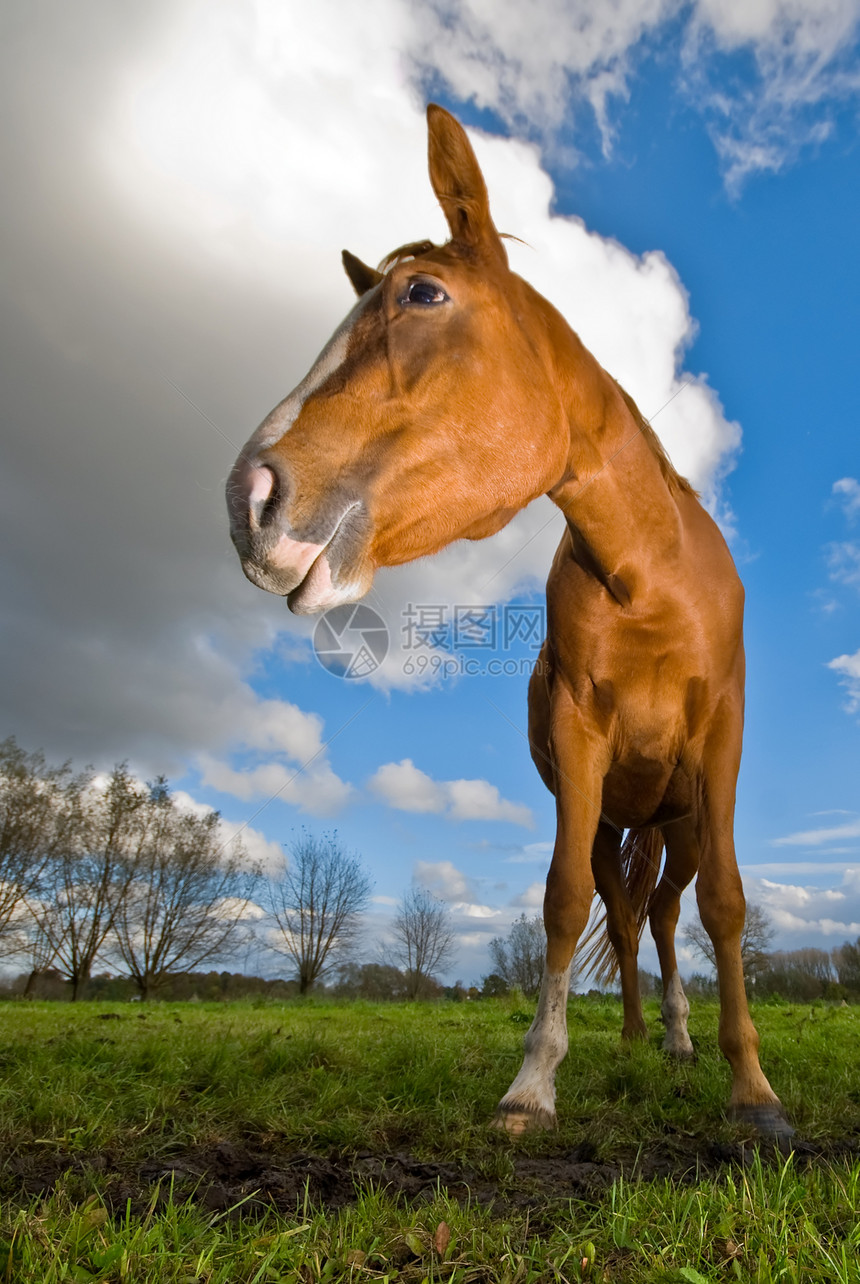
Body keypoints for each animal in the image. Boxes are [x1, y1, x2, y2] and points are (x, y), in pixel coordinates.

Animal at [228, 105, 795, 1140]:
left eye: (423, 293)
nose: (248, 500)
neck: (653, 577)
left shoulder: (720, 743)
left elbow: (730, 907)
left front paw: (755, 1090)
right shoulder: (579, 742)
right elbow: (563, 901)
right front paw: (534, 1082)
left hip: (682, 817)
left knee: (667, 912)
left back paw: (682, 1040)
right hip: (617, 817)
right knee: (628, 912)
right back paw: (635, 1038)